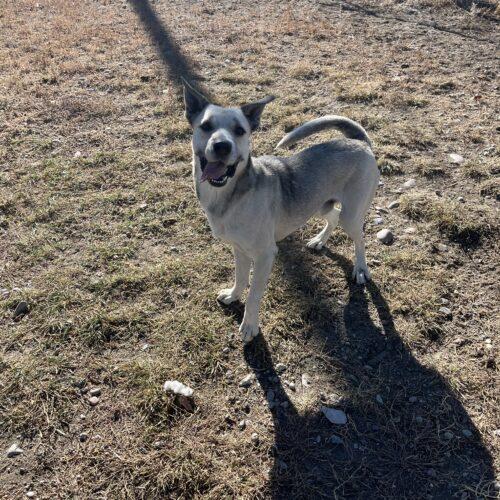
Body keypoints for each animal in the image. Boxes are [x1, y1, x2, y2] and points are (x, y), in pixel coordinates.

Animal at [184, 80, 378, 344]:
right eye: (205, 126)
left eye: (240, 130)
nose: (222, 146)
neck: (229, 197)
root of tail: (359, 141)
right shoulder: (239, 249)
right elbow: (240, 277)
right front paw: (233, 295)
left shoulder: (265, 255)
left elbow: (254, 294)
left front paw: (249, 326)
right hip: (318, 205)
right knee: (334, 216)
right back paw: (319, 241)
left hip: (351, 215)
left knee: (359, 238)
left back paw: (360, 268)